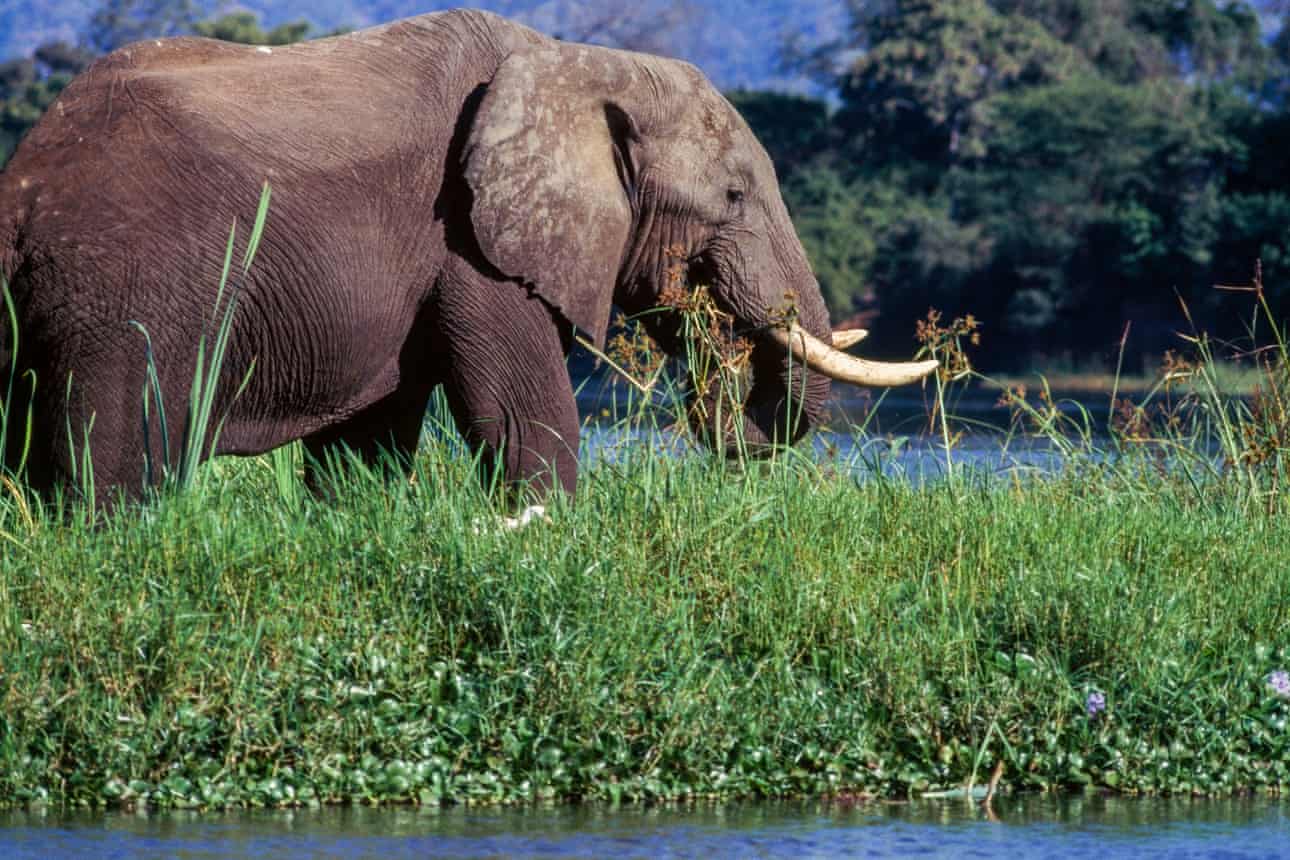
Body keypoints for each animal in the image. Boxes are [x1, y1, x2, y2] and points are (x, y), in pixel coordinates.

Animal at [0, 9, 936, 508]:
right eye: (735, 197)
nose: (720, 403)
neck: (576, 63)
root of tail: (21, 183)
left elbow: (368, 442)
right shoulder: (469, 243)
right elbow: (525, 421)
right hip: (121, 297)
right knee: (113, 465)